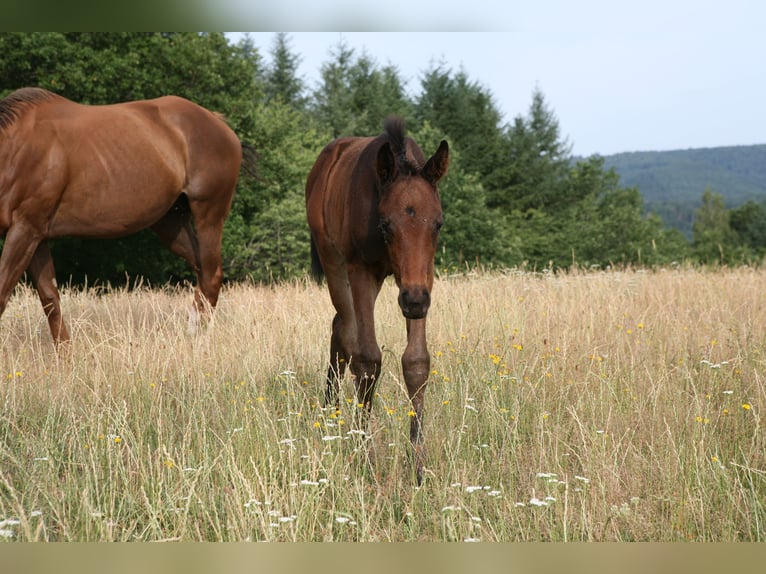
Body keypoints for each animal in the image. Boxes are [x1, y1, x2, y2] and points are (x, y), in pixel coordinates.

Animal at [0, 87, 243, 348]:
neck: (15, 150)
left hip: (209, 214)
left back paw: (197, 341)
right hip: (171, 223)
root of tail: (219, 123)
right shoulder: (36, 235)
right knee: (201, 271)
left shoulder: (25, 229)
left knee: (211, 275)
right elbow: (50, 299)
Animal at [306, 116, 449, 484]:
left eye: (438, 224)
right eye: (385, 224)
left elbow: (416, 362)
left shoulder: (421, 278)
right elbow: (368, 359)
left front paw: (418, 466)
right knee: (346, 330)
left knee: (340, 328)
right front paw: (365, 459)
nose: (414, 303)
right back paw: (332, 418)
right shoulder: (361, 270)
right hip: (334, 262)